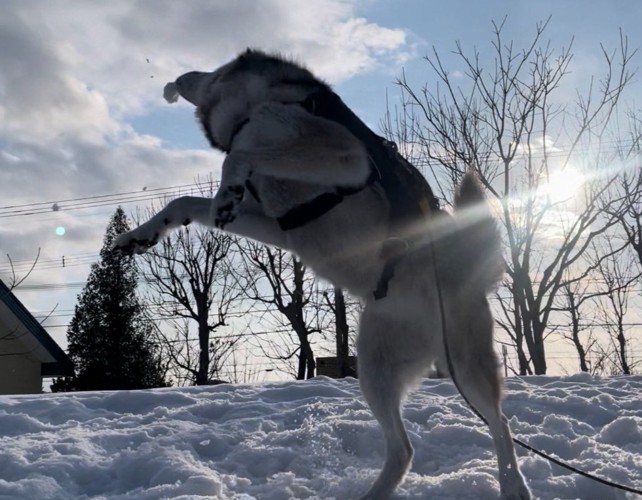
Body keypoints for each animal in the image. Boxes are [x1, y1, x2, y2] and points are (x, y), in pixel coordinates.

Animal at [112, 48, 528, 498]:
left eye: (214, 69)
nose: (180, 77)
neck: (258, 106)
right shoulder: (279, 226)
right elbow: (183, 202)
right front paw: (139, 236)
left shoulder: (345, 160)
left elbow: (237, 157)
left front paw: (225, 189)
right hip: (378, 369)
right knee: (407, 449)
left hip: (463, 368)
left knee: (500, 424)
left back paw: (513, 485)